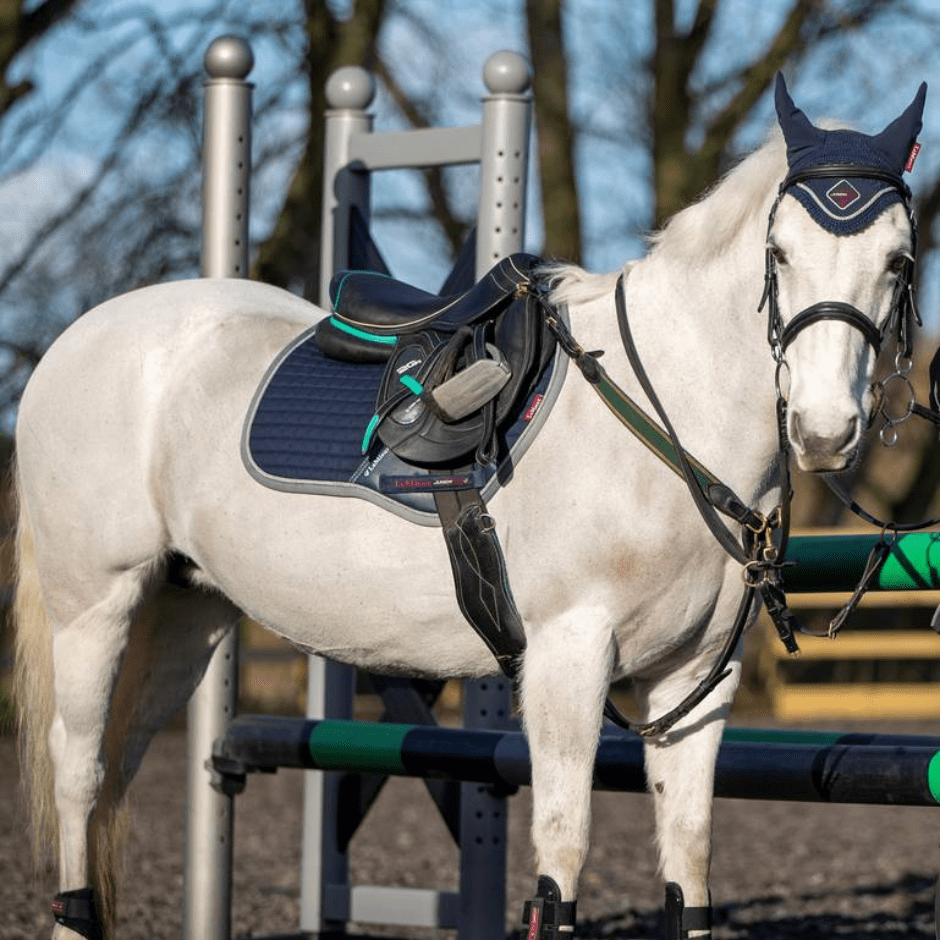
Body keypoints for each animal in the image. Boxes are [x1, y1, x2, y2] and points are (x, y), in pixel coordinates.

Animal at [12, 74, 926, 940]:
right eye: (779, 252)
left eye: (898, 262)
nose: (825, 430)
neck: (665, 410)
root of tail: (78, 337)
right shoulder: (567, 657)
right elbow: (562, 860)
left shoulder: (697, 680)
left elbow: (690, 870)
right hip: (94, 605)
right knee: (79, 770)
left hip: (185, 613)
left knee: (118, 767)